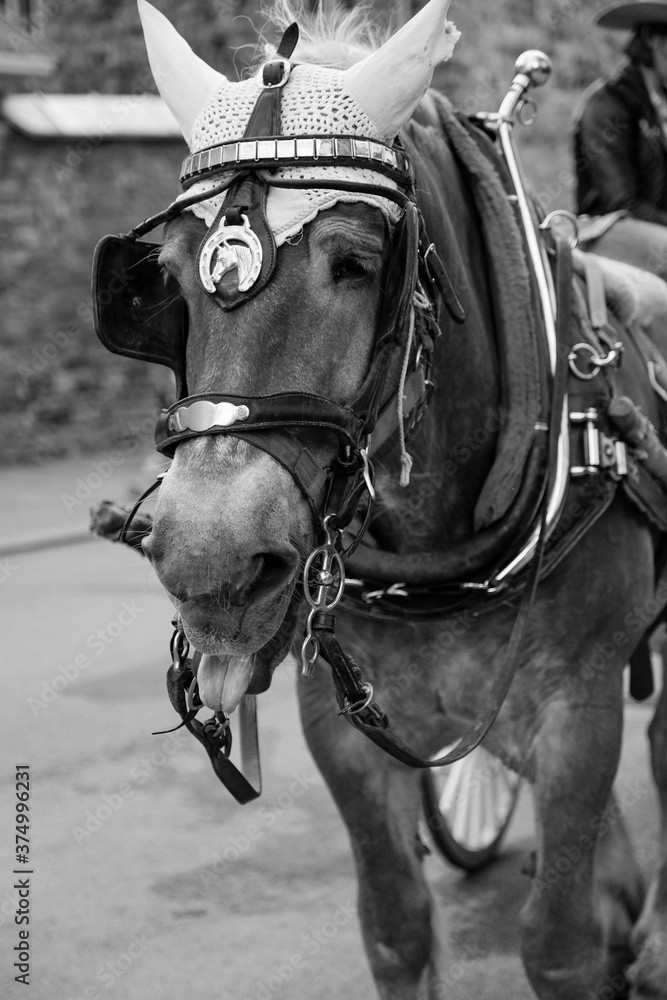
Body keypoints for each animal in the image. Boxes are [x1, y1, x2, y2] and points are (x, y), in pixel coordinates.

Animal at [93, 1, 667, 997]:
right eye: (161, 272)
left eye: (356, 262)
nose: (210, 564)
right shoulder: (337, 721)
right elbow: (394, 926)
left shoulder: (580, 706)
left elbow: (555, 943)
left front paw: (593, 920)